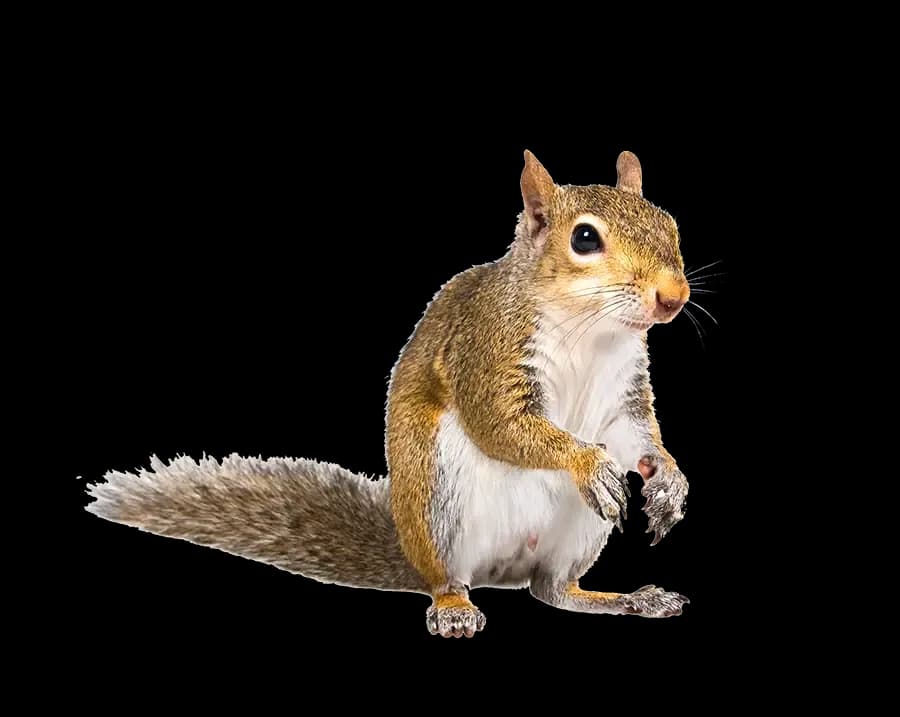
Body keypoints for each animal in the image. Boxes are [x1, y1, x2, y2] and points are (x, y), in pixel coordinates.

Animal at [87, 150, 693, 638]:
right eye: (584, 238)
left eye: (671, 223)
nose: (673, 298)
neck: (590, 330)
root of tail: (500, 570)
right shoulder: (486, 351)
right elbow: (501, 423)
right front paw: (587, 463)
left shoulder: (624, 391)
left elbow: (635, 435)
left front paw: (669, 478)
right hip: (437, 500)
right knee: (449, 580)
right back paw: (454, 609)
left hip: (574, 533)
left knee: (552, 590)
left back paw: (627, 599)